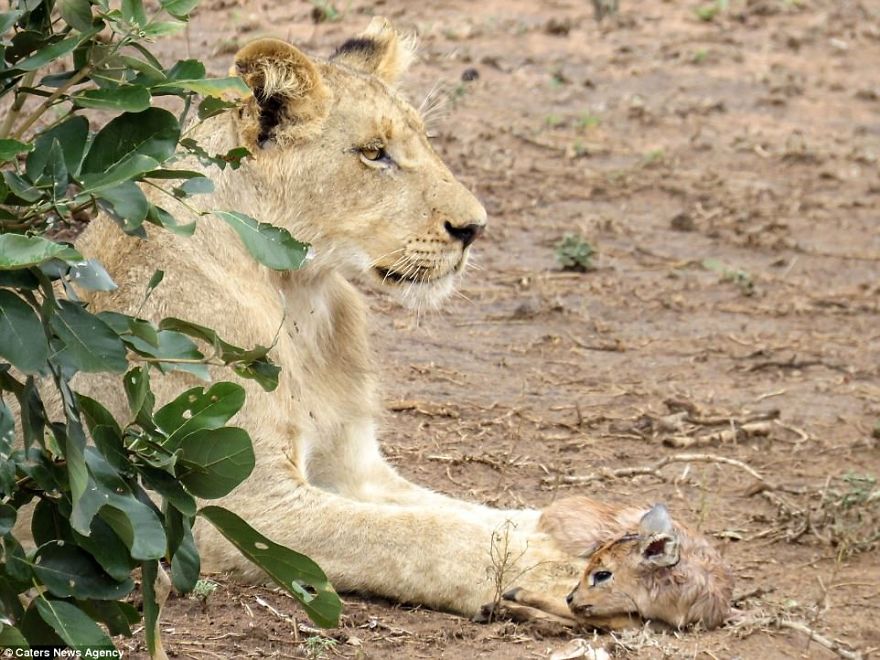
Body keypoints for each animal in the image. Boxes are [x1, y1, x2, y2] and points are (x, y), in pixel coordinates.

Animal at [70, 17, 585, 618]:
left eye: (425, 142)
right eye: (374, 153)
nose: (474, 228)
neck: (301, 299)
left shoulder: (353, 467)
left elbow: (467, 511)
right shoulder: (235, 505)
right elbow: (422, 535)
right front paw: (561, 569)